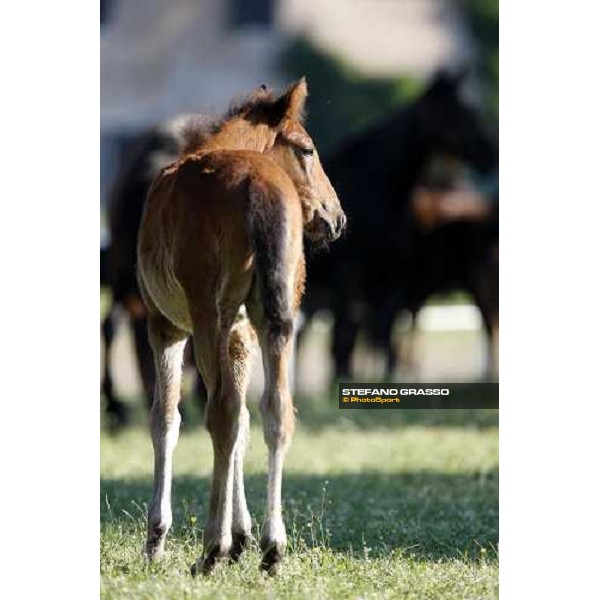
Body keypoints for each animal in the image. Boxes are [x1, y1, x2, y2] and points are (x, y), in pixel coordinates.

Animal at [135, 77, 342, 576]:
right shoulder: (242, 335)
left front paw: (158, 538)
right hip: (274, 321)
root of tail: (257, 185)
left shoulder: (166, 326)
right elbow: (249, 420)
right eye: (307, 149)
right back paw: (271, 546)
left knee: (221, 413)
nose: (336, 217)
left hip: (207, 317)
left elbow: (166, 419)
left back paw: (211, 547)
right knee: (276, 411)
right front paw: (244, 534)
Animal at [302, 70, 500, 380]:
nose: (491, 155)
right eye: (458, 112)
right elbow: (346, 338)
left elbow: (384, 338)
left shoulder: (391, 279)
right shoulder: (349, 278)